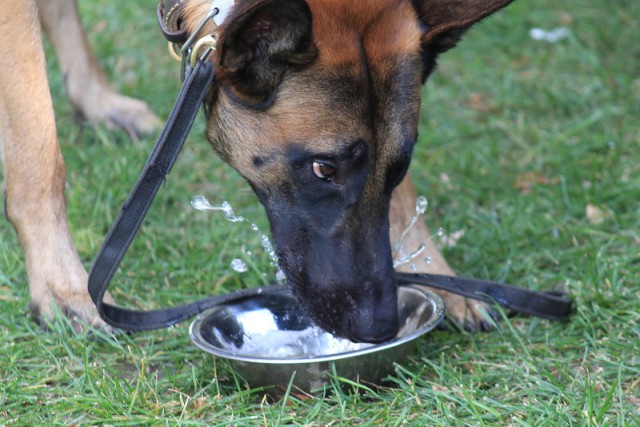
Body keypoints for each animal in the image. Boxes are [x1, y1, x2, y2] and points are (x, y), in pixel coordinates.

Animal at [0, 0, 510, 342]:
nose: (380, 326)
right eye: (323, 169)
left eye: (400, 166)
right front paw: (61, 282)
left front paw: (430, 265)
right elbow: (40, 154)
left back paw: (98, 99)